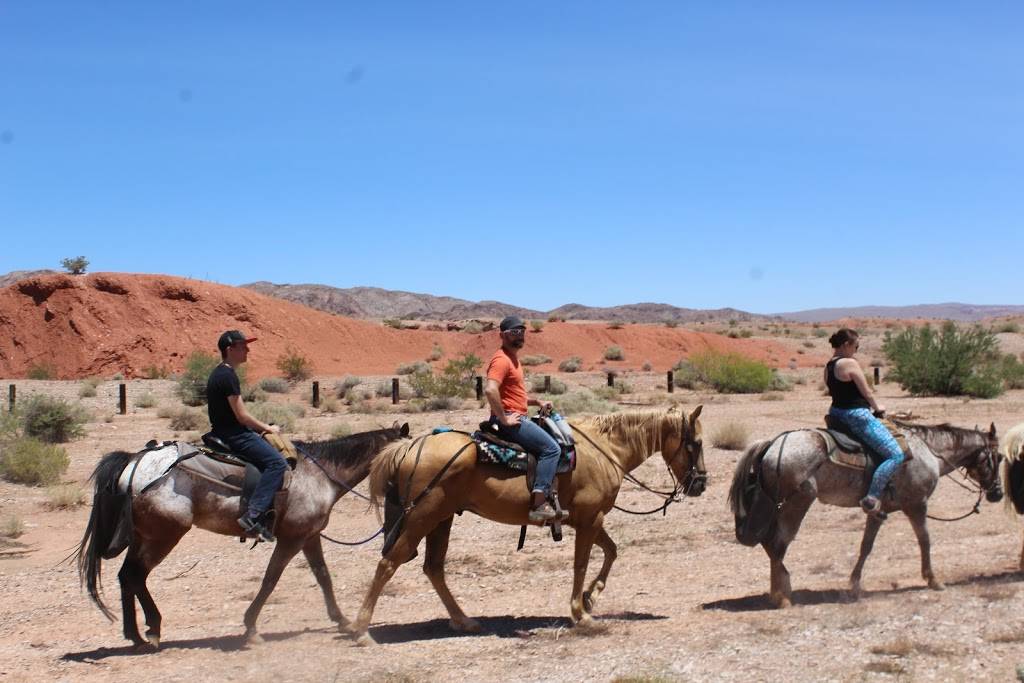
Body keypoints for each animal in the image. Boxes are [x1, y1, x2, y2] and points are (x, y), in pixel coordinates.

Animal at [77, 421, 409, 651]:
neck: (321, 474)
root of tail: (136, 462)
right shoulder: (292, 538)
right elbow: (271, 579)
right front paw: (251, 629)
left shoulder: (309, 536)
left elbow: (323, 577)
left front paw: (343, 621)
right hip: (164, 535)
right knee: (135, 575)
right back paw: (153, 630)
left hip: (145, 536)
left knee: (127, 576)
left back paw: (136, 634)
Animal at [348, 405, 708, 647]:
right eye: (698, 443)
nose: (701, 484)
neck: (605, 449)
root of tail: (408, 447)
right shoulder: (590, 519)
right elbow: (582, 563)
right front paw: (581, 612)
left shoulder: (587, 518)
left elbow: (612, 552)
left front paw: (591, 596)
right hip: (423, 517)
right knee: (389, 563)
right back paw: (361, 630)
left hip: (441, 519)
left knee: (433, 568)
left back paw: (464, 621)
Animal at [729, 421, 999, 610]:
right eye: (998, 457)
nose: (997, 493)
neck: (930, 452)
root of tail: (774, 444)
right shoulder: (917, 505)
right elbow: (925, 540)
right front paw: (933, 580)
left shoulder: (878, 511)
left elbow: (866, 546)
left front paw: (854, 586)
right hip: (799, 502)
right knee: (777, 543)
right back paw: (782, 597)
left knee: (770, 543)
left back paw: (779, 592)